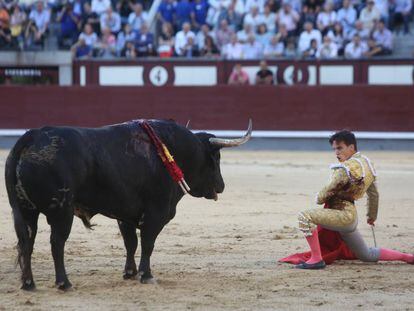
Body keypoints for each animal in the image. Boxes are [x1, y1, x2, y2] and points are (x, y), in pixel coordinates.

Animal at [4, 120, 252, 292]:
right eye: (216, 158)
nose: (221, 186)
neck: (171, 150)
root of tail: (32, 136)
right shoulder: (155, 213)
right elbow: (148, 243)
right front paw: (146, 275)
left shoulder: (125, 214)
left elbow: (130, 242)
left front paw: (130, 273)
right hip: (61, 212)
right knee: (56, 243)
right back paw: (64, 283)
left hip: (27, 211)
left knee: (26, 243)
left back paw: (28, 284)